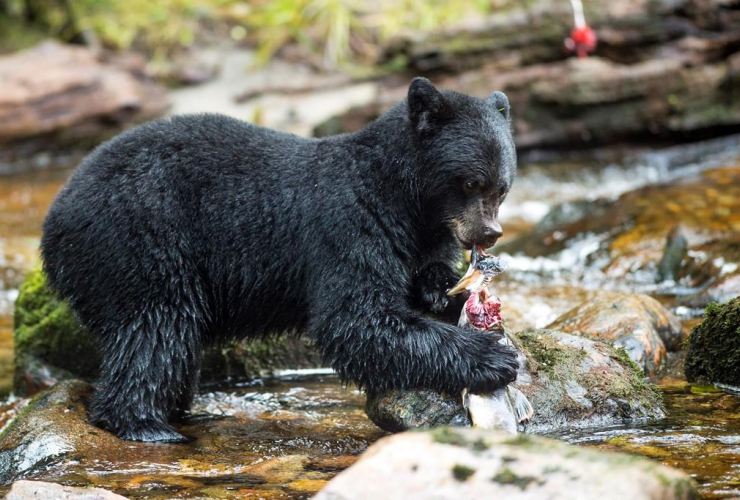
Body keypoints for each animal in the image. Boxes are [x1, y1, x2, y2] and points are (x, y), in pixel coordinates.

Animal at [39, 78, 516, 442]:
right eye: (471, 182)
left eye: (503, 187)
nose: (489, 234)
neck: (404, 197)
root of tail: (54, 222)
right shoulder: (350, 224)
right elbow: (355, 318)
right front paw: (492, 357)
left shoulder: (426, 235)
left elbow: (424, 277)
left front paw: (449, 293)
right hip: (140, 242)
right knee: (155, 330)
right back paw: (144, 425)